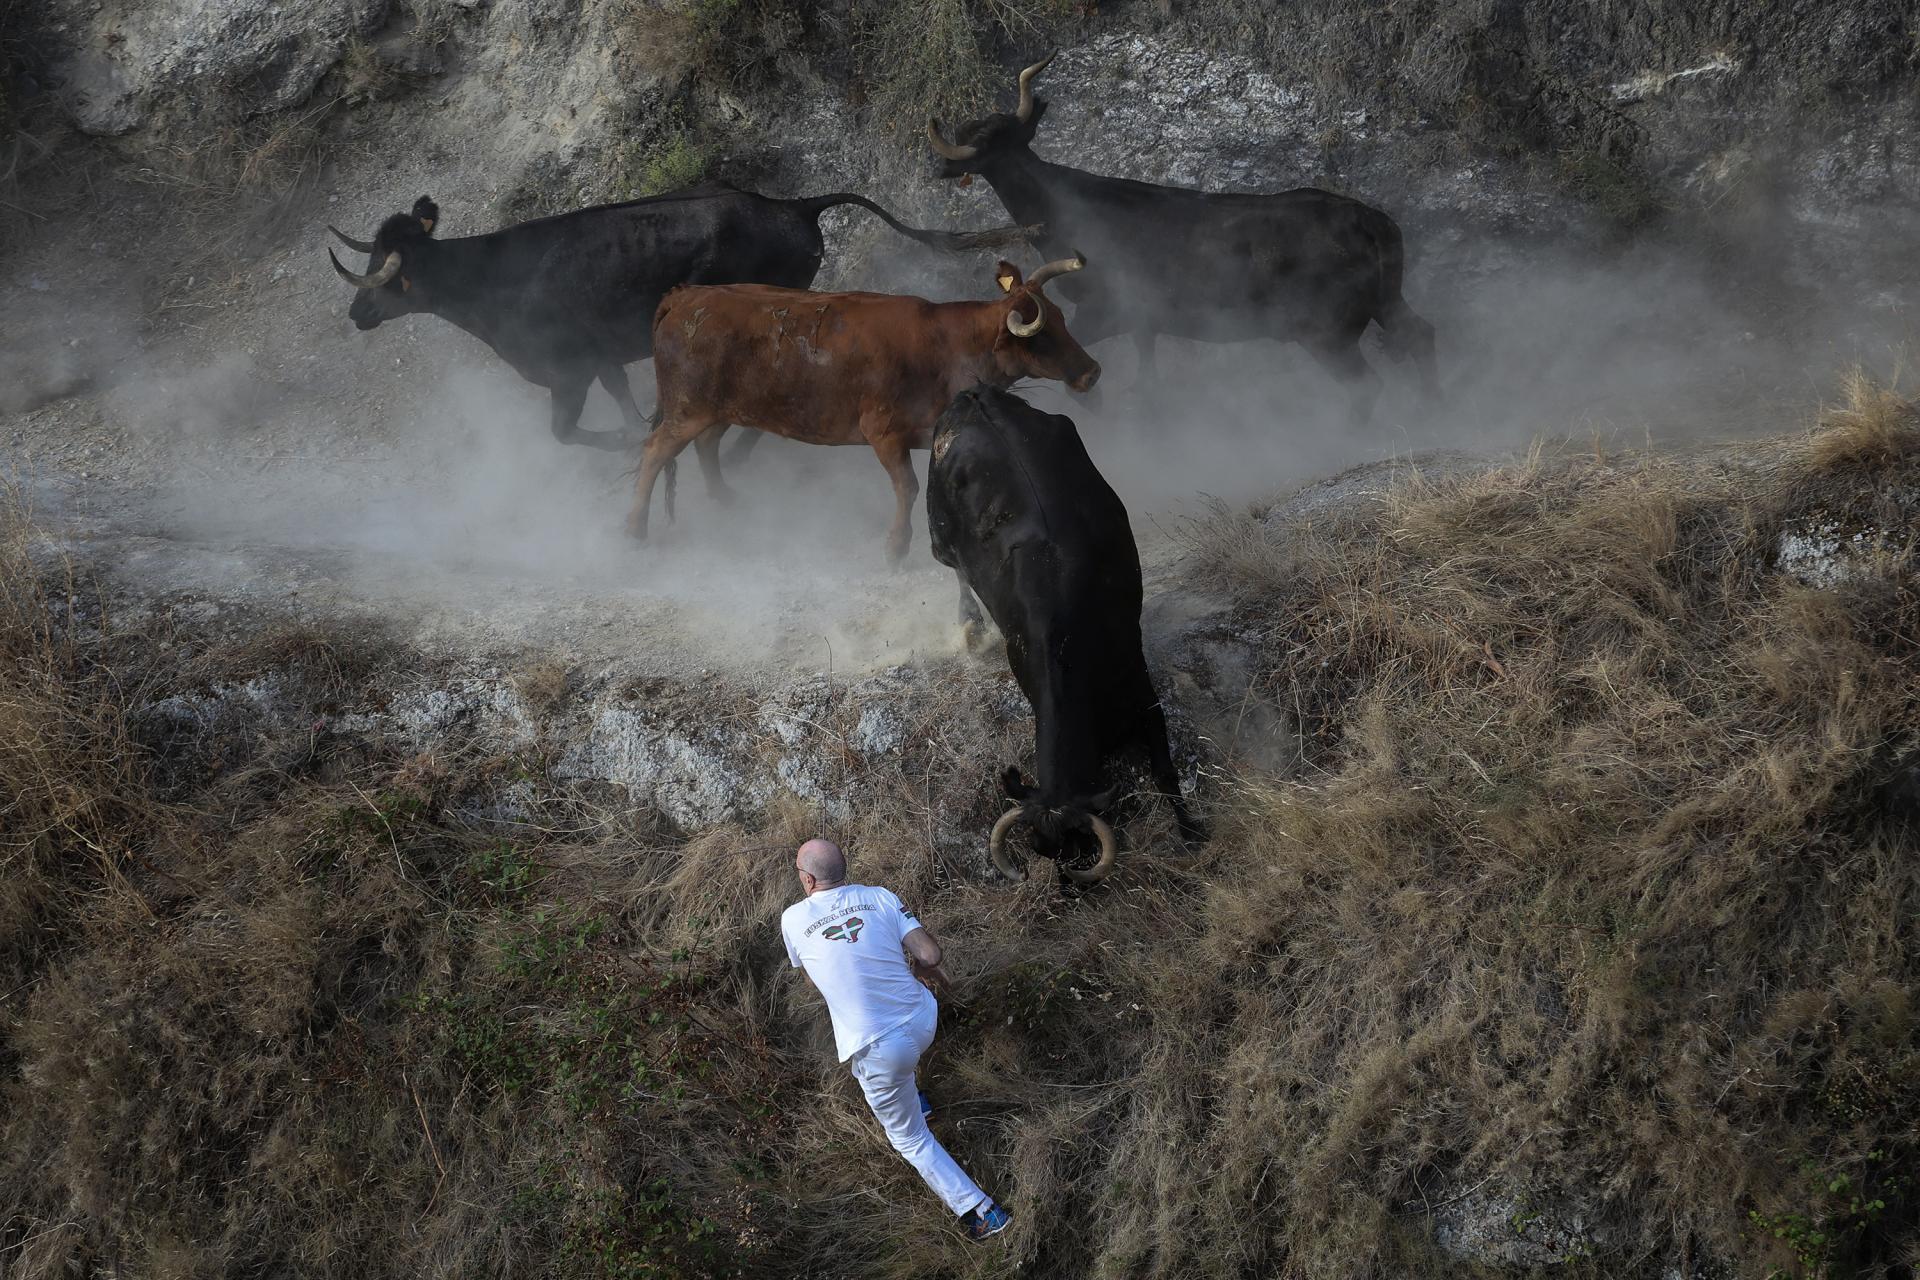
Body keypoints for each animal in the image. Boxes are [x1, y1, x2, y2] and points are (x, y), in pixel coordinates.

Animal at [618, 255, 1090, 560]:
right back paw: (635, 529)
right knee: (656, 451)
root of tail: (686, 296)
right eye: (1041, 337)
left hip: (724, 408)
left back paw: (726, 498)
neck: (946, 344)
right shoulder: (883, 432)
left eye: (1063, 318)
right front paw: (896, 546)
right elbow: (907, 488)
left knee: (706, 445)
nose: (1092, 371)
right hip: (687, 409)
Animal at [925, 383, 1198, 882]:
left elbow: (1166, 772)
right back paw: (970, 624)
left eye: (1081, 844)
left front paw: (1191, 832)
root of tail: (975, 395)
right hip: (940, 537)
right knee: (956, 569)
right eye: (1039, 847)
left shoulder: (1143, 690)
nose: (1069, 889)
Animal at [929, 53, 1443, 426]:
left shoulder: (1105, 308)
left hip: (1325, 330)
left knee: (1367, 383)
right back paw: (1432, 409)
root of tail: (1370, 219)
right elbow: (1148, 376)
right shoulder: (1144, 321)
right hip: (1384, 302)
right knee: (1421, 335)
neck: (1056, 208)